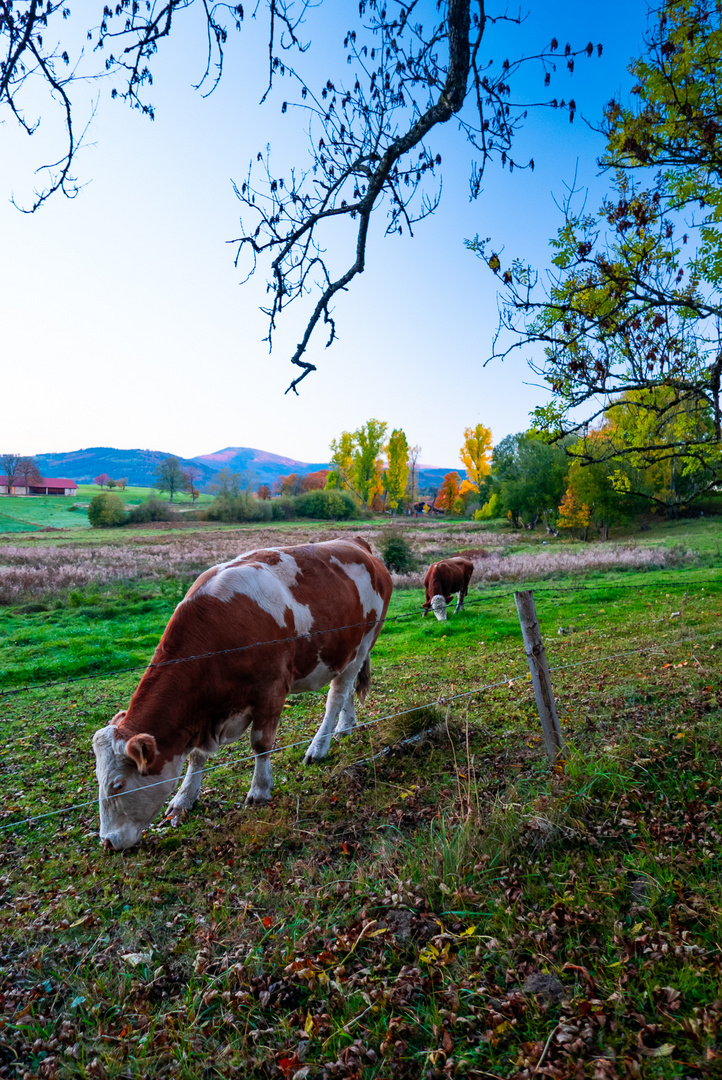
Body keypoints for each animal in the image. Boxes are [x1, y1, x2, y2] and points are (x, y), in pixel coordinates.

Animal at [94, 535, 394, 846]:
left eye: (118, 784)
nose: (107, 842)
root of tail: (354, 541)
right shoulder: (204, 714)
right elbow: (196, 756)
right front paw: (183, 799)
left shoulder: (271, 689)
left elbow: (261, 744)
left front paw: (259, 790)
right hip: (344, 651)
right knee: (346, 691)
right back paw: (345, 727)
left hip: (364, 641)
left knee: (336, 696)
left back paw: (318, 747)